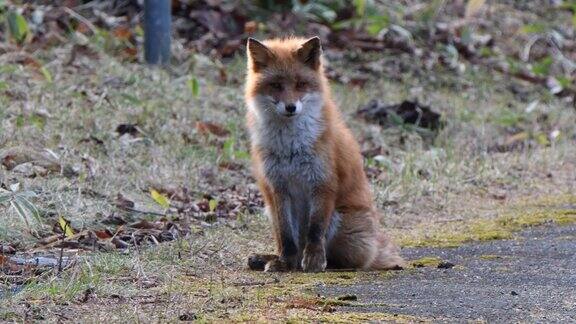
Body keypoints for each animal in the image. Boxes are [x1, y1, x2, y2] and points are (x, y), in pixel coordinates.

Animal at [244, 36, 404, 272]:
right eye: (276, 85)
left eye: (300, 84)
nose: (290, 107)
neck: (290, 147)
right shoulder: (278, 186)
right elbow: (286, 235)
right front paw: (285, 262)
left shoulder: (322, 181)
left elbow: (315, 230)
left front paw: (314, 261)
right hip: (270, 211)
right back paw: (273, 259)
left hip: (341, 224)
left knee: (351, 259)